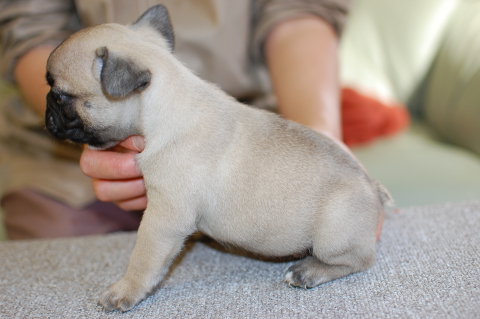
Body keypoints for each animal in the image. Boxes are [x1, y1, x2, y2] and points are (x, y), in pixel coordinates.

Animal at [45, 5, 392, 314]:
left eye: (60, 96)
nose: (47, 107)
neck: (167, 103)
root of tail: (373, 188)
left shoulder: (164, 216)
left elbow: (143, 257)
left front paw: (125, 290)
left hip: (333, 234)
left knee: (357, 261)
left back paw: (310, 270)